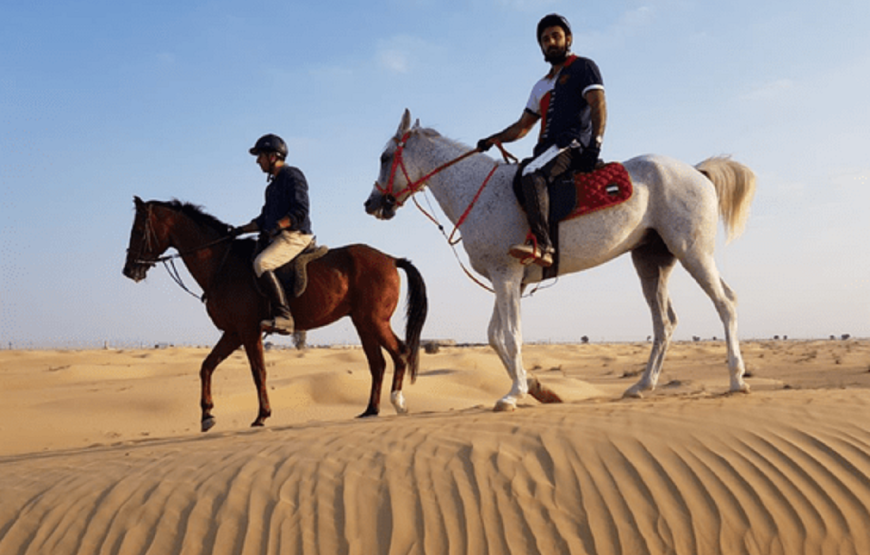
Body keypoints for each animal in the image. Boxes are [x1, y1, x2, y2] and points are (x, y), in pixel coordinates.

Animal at [122, 198, 430, 432]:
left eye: (138, 230)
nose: (129, 271)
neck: (221, 264)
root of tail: (391, 259)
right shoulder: (233, 332)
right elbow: (207, 366)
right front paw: (207, 415)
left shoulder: (248, 331)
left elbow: (258, 371)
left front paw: (261, 416)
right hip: (362, 322)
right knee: (377, 363)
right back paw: (371, 409)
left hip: (374, 320)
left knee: (399, 352)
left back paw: (397, 402)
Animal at [364, 109, 760, 412]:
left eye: (385, 157)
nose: (372, 204)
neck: (478, 191)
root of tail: (697, 171)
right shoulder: (505, 280)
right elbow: (495, 336)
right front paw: (535, 387)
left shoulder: (506, 276)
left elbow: (511, 337)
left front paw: (514, 395)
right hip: (651, 262)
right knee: (664, 322)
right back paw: (641, 386)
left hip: (693, 251)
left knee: (725, 302)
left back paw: (737, 379)